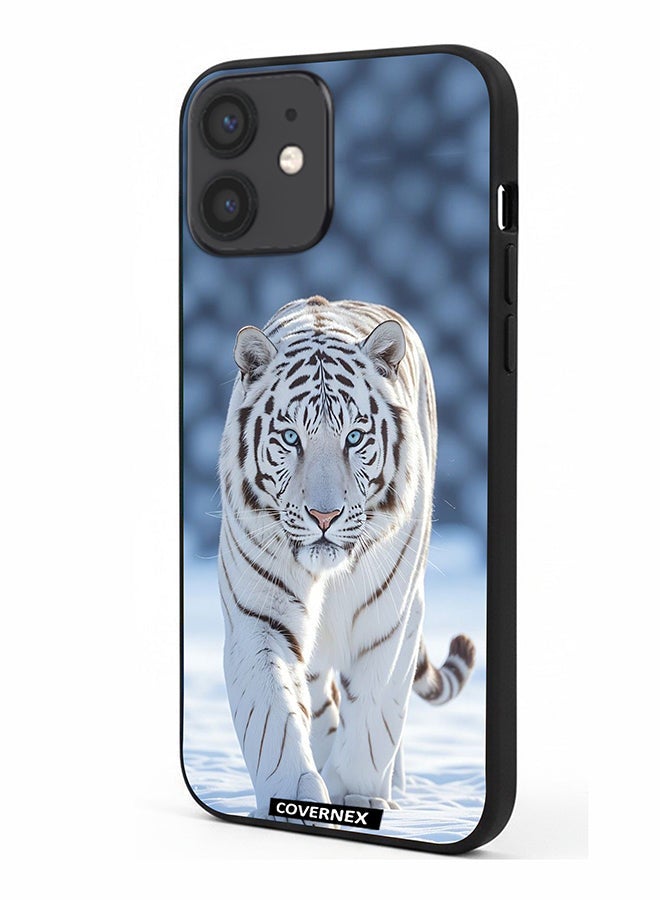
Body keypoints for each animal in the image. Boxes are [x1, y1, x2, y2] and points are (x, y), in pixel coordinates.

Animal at [218, 296, 475, 818]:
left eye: (354, 438)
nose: (324, 515)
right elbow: (273, 720)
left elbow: (375, 715)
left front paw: (357, 795)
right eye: (291, 438)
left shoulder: (390, 620)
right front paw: (295, 794)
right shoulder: (258, 618)